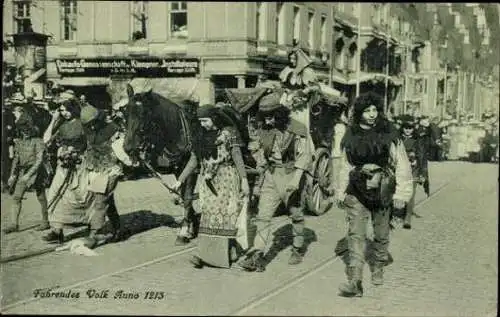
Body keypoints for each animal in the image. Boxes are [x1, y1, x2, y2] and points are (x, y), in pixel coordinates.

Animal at [122, 82, 201, 244]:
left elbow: (187, 197)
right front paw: (191, 224)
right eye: (125, 113)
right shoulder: (178, 171)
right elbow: (183, 195)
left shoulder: (192, 169)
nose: (128, 147)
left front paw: (184, 230)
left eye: (143, 114)